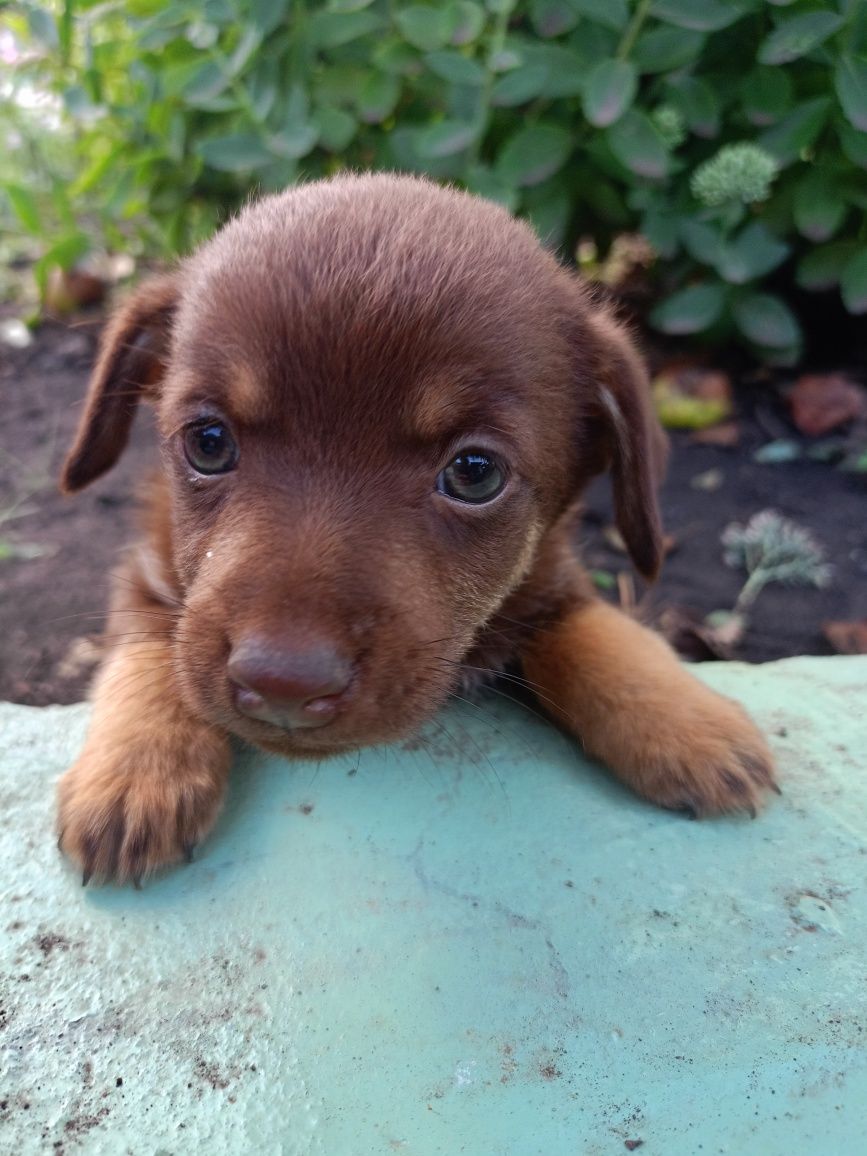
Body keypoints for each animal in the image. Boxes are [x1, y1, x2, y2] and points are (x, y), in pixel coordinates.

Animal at [59, 175, 781, 883]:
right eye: (208, 442)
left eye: (474, 473)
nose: (283, 685)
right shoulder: (147, 569)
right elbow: (151, 646)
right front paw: (134, 774)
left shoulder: (551, 577)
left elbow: (598, 633)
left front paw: (689, 722)